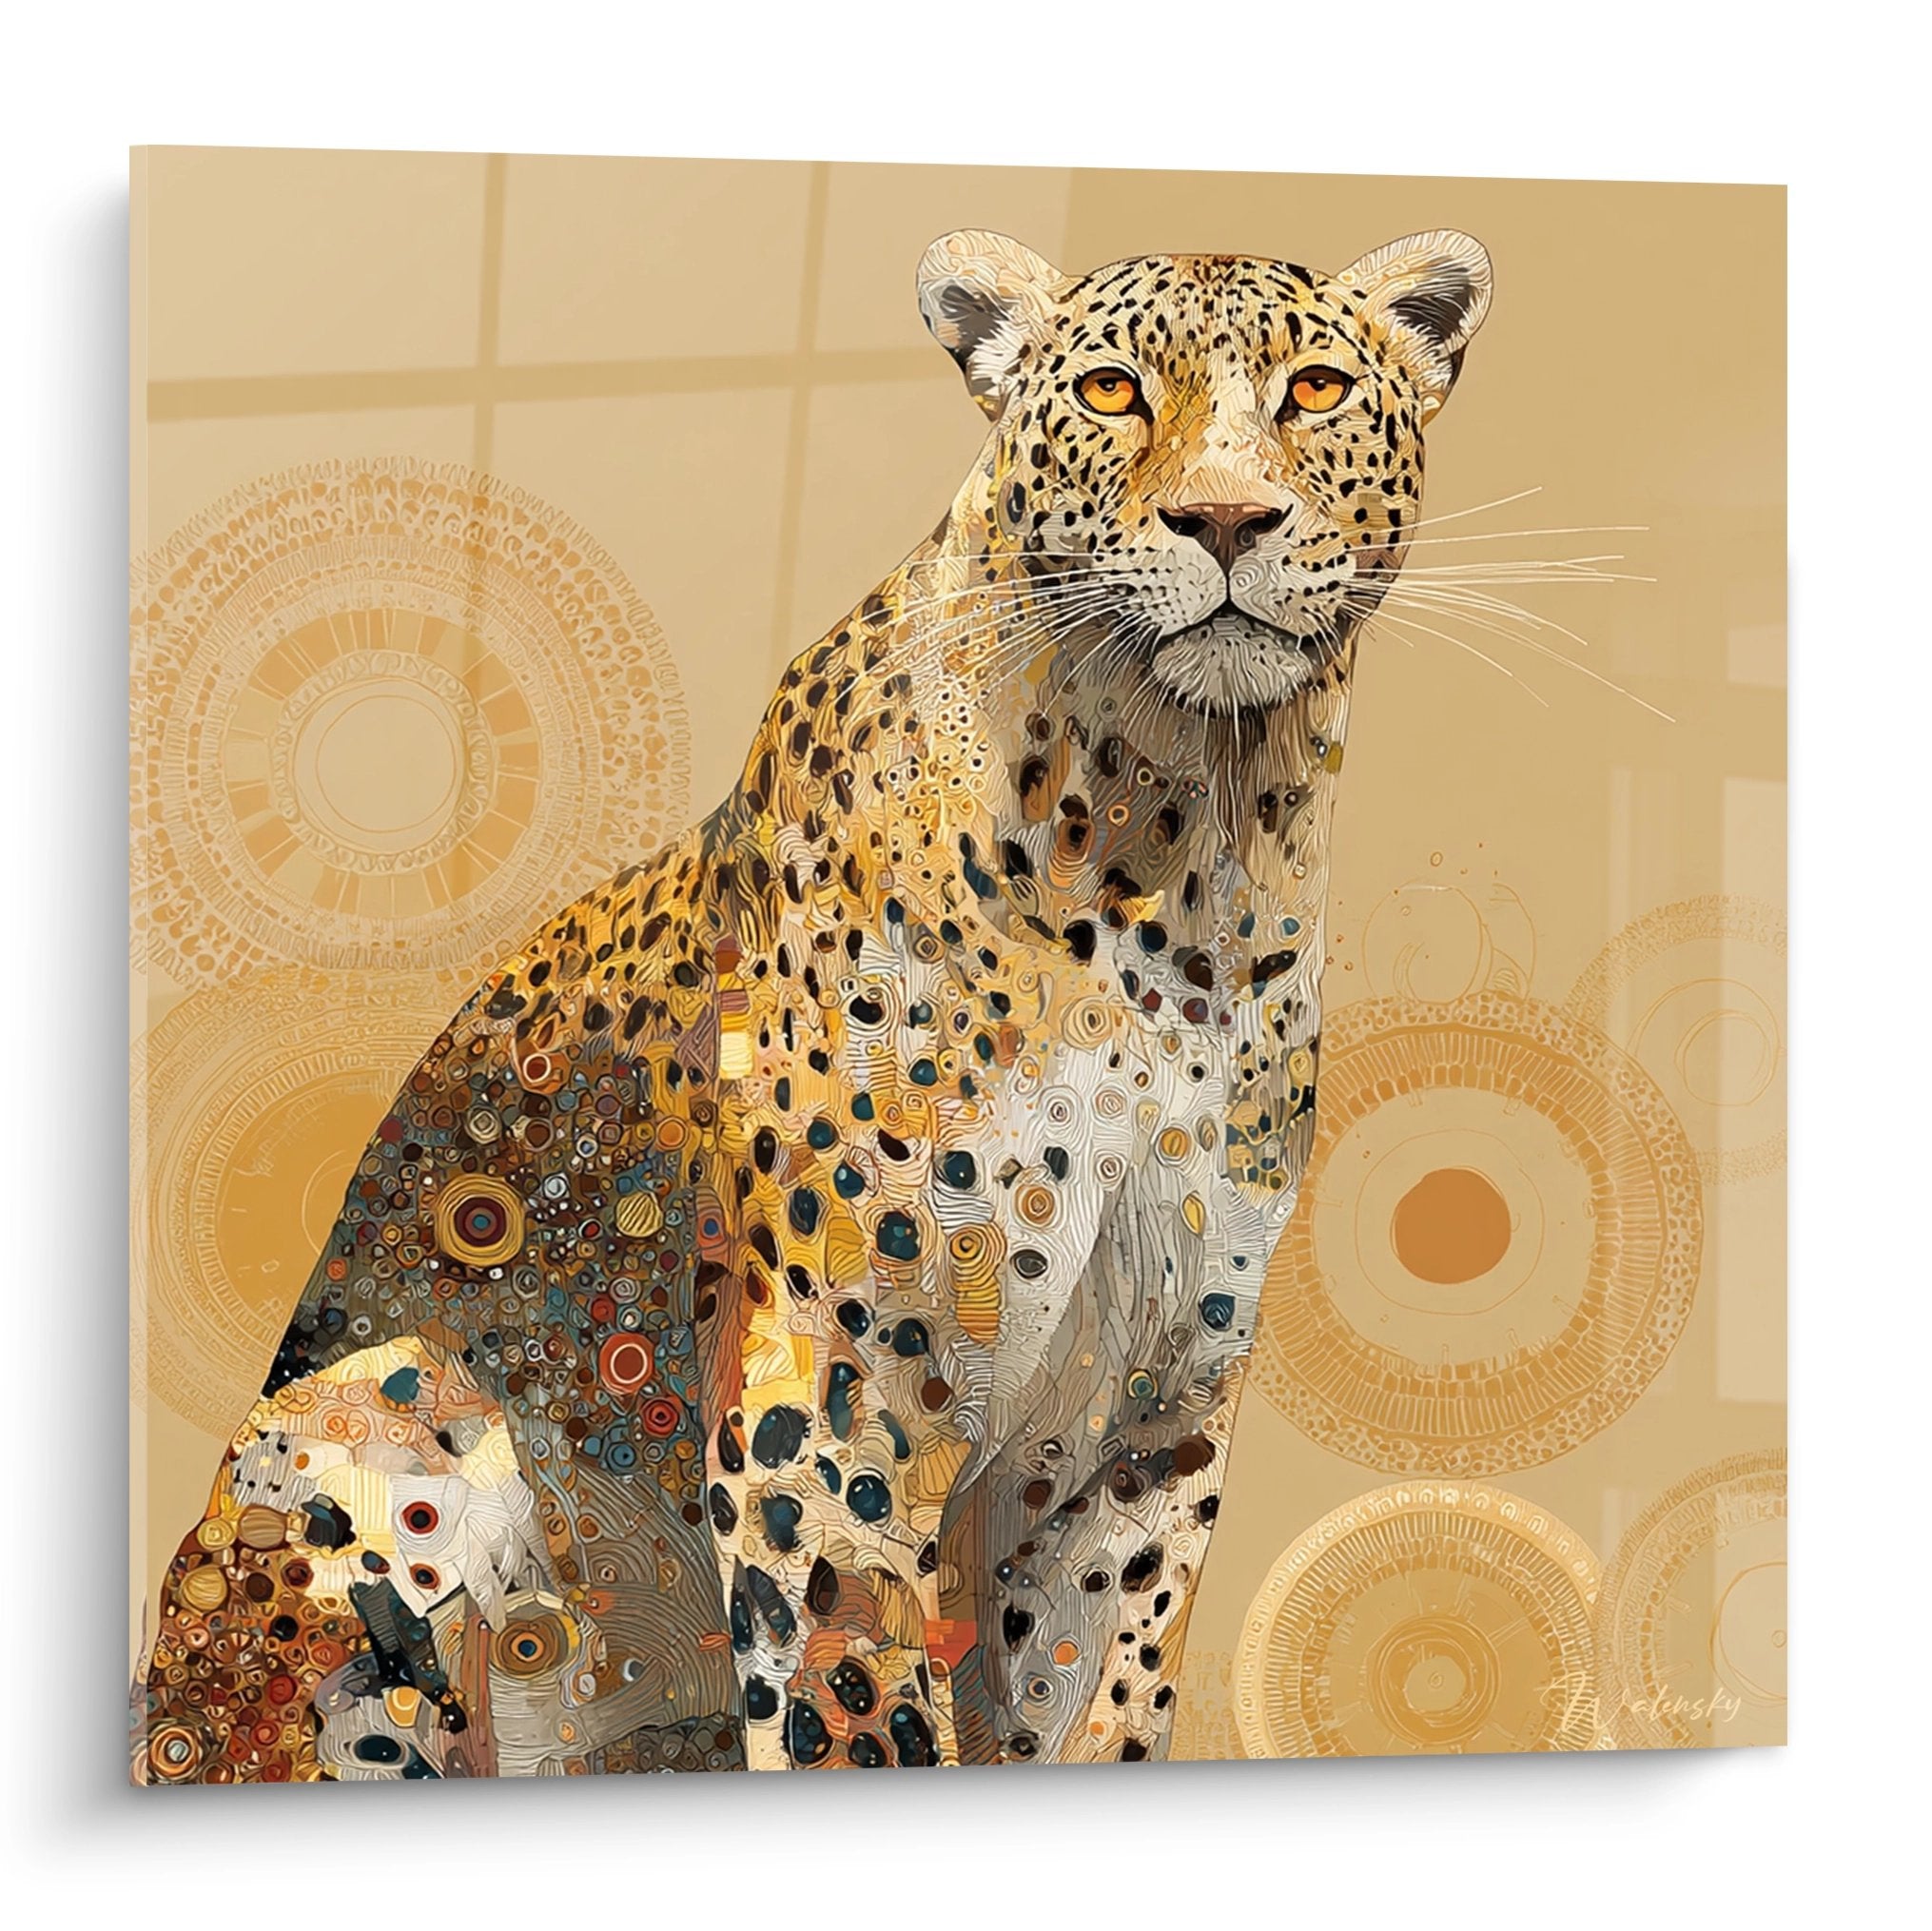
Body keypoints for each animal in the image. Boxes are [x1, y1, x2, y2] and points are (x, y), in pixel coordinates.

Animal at [134, 223, 1493, 1780]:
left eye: (1315, 388)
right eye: (1109, 391)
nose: (1225, 519)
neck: (1175, 847)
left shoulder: (1149, 1426)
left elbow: (1103, 1696)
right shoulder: (835, 1393)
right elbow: (861, 1708)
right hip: (390, 1411)